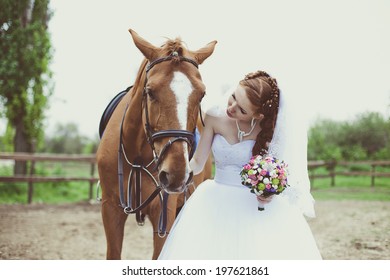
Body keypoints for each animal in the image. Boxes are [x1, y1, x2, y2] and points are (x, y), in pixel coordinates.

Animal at [95, 29, 216, 260]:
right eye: (150, 92)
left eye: (201, 94)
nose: (177, 173)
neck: (138, 157)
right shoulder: (110, 208)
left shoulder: (163, 211)